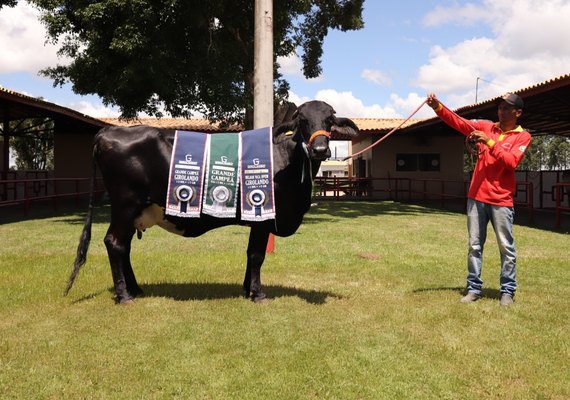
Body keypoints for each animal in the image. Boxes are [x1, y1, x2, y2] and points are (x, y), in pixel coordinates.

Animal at [66, 100, 358, 304]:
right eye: (302, 120)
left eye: (330, 119)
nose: (320, 149)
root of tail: (108, 132)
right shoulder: (263, 217)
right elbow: (257, 254)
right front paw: (257, 293)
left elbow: (251, 253)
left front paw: (247, 288)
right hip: (126, 204)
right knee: (115, 243)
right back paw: (124, 295)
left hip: (135, 210)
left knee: (123, 246)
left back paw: (136, 289)